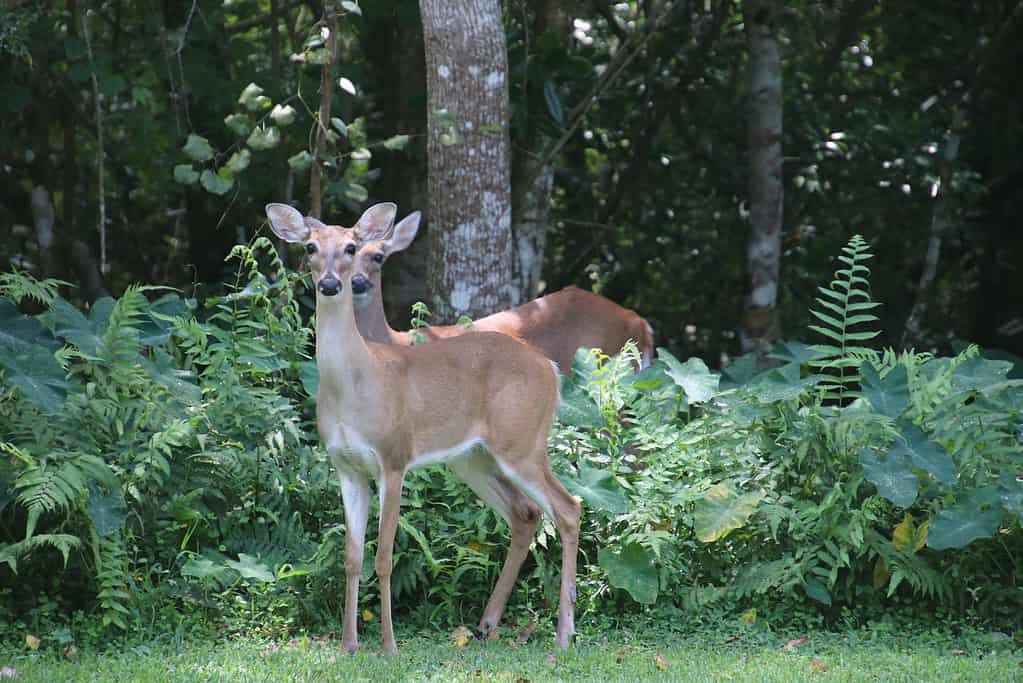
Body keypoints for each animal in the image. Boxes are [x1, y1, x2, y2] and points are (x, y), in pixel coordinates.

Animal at [265, 202, 585, 654]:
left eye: (351, 247)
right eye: (310, 247)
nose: (330, 283)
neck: (356, 385)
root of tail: (550, 368)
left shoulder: (394, 457)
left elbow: (383, 556)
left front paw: (389, 646)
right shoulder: (346, 466)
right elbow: (352, 557)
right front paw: (347, 646)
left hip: (522, 440)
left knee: (568, 507)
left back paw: (563, 634)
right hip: (472, 457)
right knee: (526, 512)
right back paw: (488, 623)